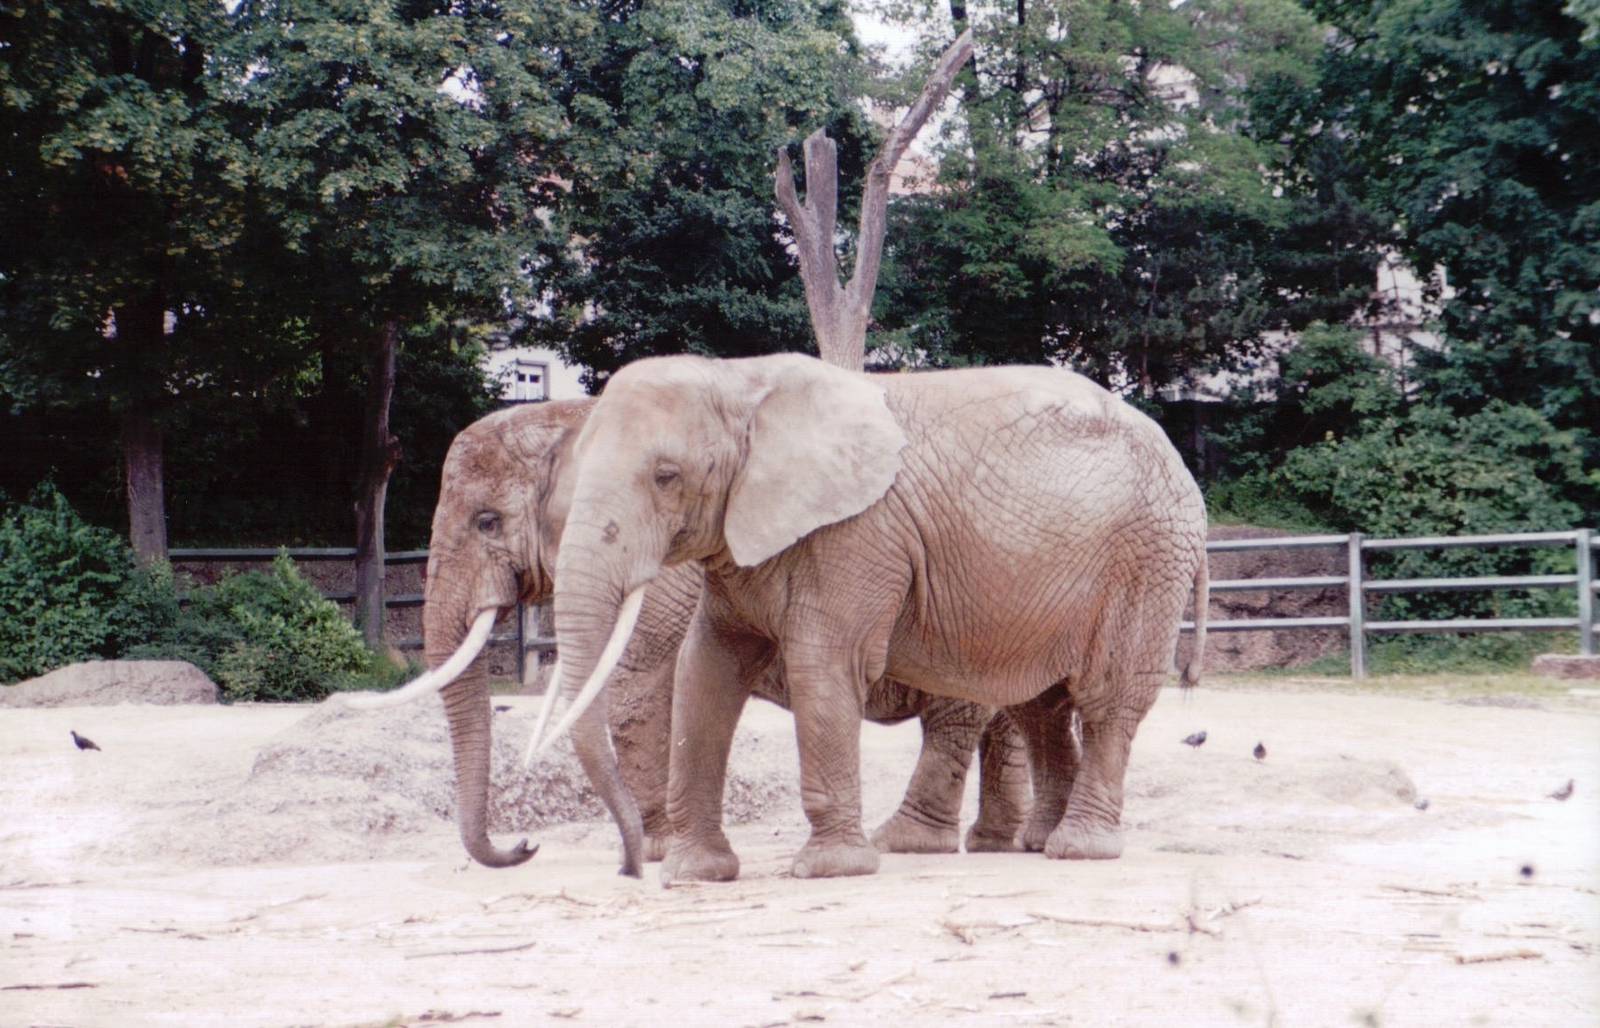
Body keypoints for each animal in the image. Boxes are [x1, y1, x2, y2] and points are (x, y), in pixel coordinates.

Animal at [352, 398, 1029, 872]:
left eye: (487, 521)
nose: (523, 845)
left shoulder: (658, 573)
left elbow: (639, 687)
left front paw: (654, 849)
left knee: (956, 718)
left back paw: (907, 841)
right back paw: (999, 843)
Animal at [539, 352, 1209, 883]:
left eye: (666, 476)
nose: (628, 868)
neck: (738, 378)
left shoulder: (857, 537)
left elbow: (824, 668)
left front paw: (830, 869)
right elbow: (705, 669)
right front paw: (696, 874)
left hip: (1146, 560)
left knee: (1106, 700)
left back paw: (1077, 849)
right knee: (1040, 705)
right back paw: (1039, 843)